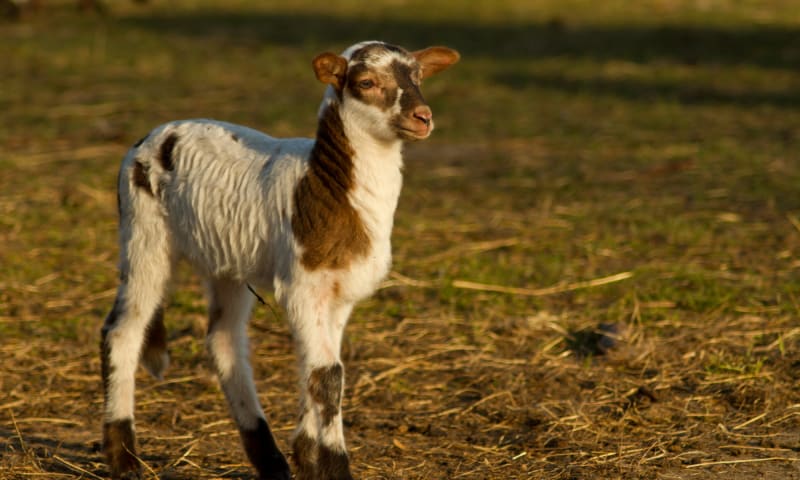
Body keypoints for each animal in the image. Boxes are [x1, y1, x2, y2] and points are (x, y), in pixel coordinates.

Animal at [99, 42, 460, 480]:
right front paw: (334, 466)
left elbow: (317, 372)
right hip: (143, 231)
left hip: (226, 259)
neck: (328, 187)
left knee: (224, 340)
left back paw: (269, 459)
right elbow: (329, 376)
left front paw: (308, 456)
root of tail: (153, 135)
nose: (422, 117)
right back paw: (124, 458)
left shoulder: (338, 291)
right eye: (366, 83)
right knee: (123, 330)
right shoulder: (301, 285)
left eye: (419, 76)